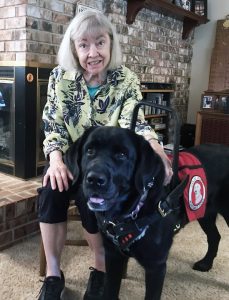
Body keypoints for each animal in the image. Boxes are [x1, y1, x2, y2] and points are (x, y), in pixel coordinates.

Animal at [64, 126, 229, 300]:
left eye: (122, 155)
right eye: (90, 151)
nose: (94, 179)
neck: (131, 212)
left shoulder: (156, 266)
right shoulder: (112, 256)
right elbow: (110, 290)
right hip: (205, 213)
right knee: (215, 237)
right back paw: (206, 263)